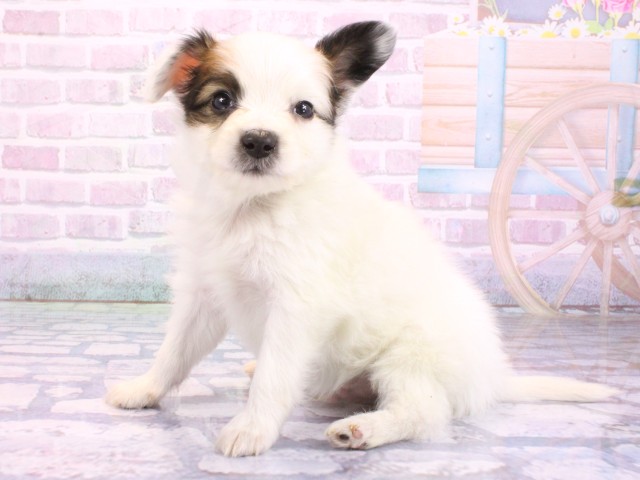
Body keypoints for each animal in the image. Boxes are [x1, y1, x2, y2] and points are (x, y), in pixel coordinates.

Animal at [105, 21, 618, 457]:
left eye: (303, 110)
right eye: (222, 101)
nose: (259, 141)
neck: (253, 207)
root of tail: (492, 379)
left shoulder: (295, 308)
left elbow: (275, 375)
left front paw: (252, 428)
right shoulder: (204, 294)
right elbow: (175, 353)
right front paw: (143, 389)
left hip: (409, 359)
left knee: (423, 413)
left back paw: (362, 429)